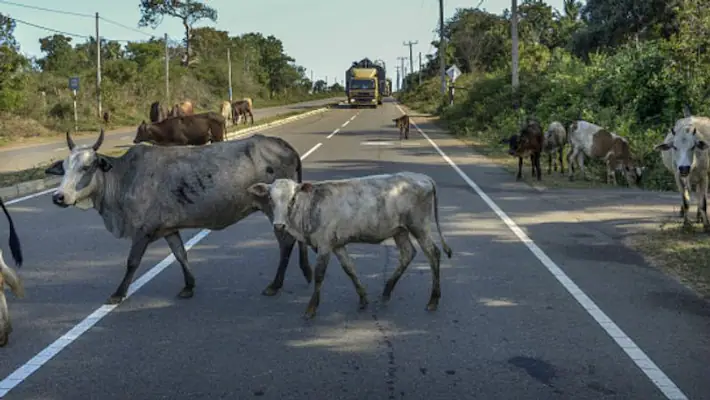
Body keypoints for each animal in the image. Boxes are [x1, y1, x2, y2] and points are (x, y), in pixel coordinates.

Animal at [44, 130, 312, 304]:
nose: (58, 196)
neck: (123, 178)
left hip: (275, 210)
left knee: (286, 243)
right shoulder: (169, 229)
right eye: (64, 168)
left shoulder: (142, 231)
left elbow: (132, 262)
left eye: (87, 167)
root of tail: (285, 145)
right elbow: (180, 254)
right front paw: (188, 286)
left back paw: (275, 285)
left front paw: (118, 293)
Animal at [248, 172, 454, 318]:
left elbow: (319, 275)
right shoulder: (337, 245)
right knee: (408, 253)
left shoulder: (324, 245)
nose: (279, 225)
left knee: (433, 253)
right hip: (400, 230)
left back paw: (433, 300)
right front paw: (363, 299)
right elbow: (350, 269)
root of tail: (423, 176)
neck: (308, 210)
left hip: (419, 226)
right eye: (270, 199)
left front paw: (311, 308)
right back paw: (387, 291)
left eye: (292, 199)